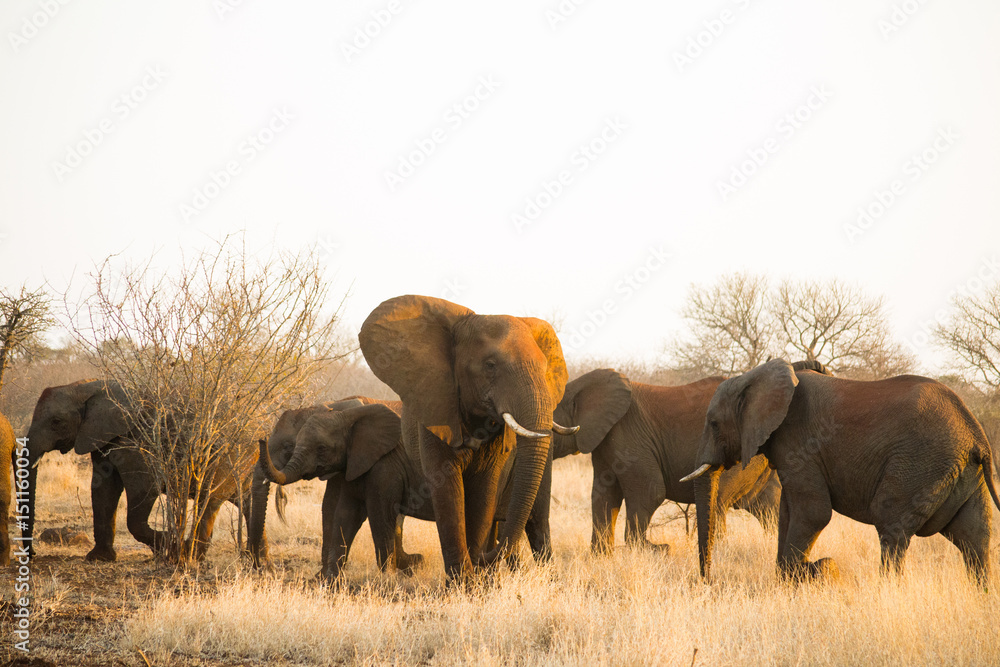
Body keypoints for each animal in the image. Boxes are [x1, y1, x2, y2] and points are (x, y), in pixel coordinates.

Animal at [23, 379, 251, 561]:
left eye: (56, 422)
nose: (33, 554)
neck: (85, 387)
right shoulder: (102, 439)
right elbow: (103, 490)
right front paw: (99, 559)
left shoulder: (137, 442)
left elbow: (143, 487)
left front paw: (167, 544)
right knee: (246, 501)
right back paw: (254, 557)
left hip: (228, 457)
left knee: (210, 499)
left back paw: (190, 555)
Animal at [358, 295, 577, 579]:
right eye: (490, 365)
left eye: (545, 368)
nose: (483, 558)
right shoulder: (436, 409)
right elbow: (448, 488)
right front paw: (463, 584)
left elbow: (485, 489)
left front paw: (476, 579)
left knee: (537, 521)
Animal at [549, 368, 787, 556]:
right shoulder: (604, 443)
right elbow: (603, 493)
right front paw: (601, 556)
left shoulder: (628, 435)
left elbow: (650, 490)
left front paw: (654, 550)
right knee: (768, 504)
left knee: (719, 500)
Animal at [682, 358, 1000, 582]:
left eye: (713, 424)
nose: (708, 581)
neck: (753, 376)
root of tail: (977, 434)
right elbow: (787, 512)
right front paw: (795, 577)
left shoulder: (801, 444)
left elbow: (813, 513)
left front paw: (805, 575)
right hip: (963, 473)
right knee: (975, 538)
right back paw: (980, 595)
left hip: (921, 464)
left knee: (892, 527)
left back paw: (887, 591)